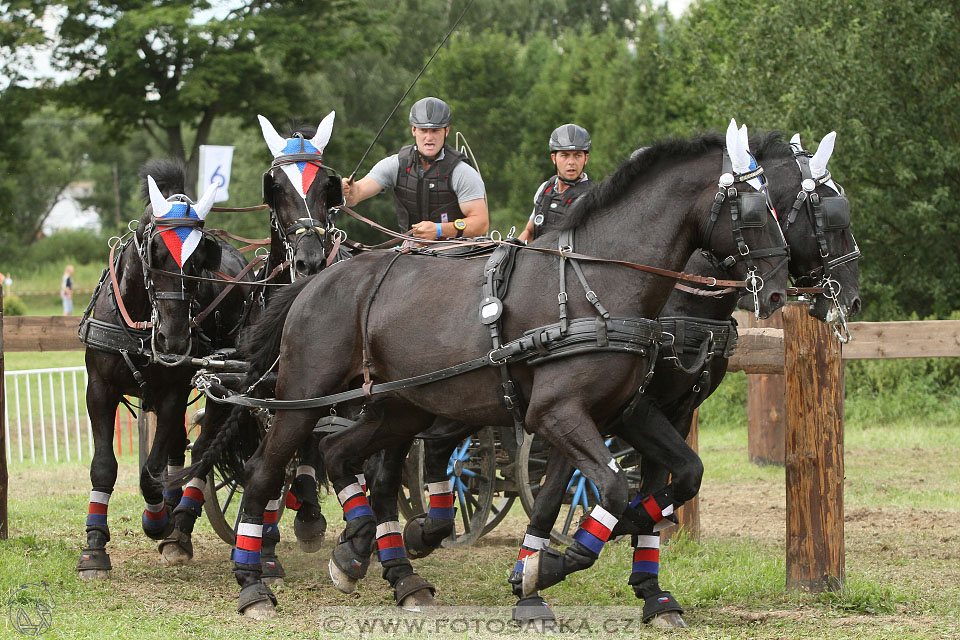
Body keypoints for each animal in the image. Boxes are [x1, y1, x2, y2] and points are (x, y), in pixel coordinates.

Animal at [77, 160, 251, 580]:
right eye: (154, 251)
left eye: (199, 260)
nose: (173, 339)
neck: (141, 327)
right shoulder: (99, 389)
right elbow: (104, 466)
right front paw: (94, 546)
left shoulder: (173, 393)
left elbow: (150, 470)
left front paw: (156, 520)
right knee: (178, 447)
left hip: (223, 383)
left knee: (201, 451)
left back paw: (179, 525)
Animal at [182, 121, 796, 620]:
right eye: (751, 209)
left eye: (779, 205)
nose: (779, 288)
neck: (596, 285)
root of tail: (315, 280)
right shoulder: (559, 414)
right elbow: (615, 492)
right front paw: (549, 567)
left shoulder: (606, 413)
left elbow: (654, 481)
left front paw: (539, 575)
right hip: (301, 397)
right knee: (265, 471)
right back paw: (254, 582)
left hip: (400, 407)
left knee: (340, 454)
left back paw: (374, 560)